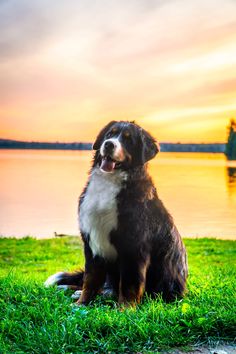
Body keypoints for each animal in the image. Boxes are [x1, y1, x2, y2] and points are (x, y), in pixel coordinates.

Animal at [44, 120, 188, 306]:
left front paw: (125, 308)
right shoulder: (91, 242)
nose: (109, 144)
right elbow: (90, 280)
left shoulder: (134, 246)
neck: (109, 182)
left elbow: (129, 284)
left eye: (128, 139)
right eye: (110, 134)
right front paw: (81, 304)